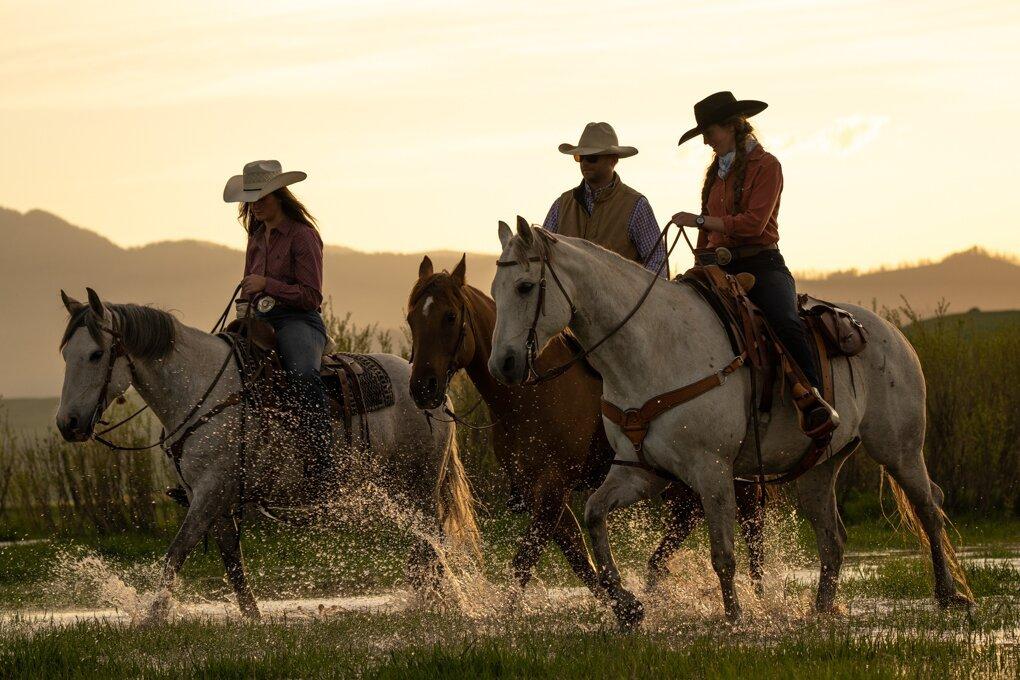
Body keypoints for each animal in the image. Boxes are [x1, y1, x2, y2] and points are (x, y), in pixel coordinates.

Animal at [57, 289, 479, 619]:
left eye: (95, 354)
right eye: (65, 354)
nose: (68, 423)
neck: (200, 388)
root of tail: (430, 389)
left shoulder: (211, 490)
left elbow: (177, 552)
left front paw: (152, 619)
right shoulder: (212, 495)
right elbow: (232, 562)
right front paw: (253, 619)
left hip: (419, 482)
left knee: (430, 542)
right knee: (425, 545)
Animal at [405, 254, 767, 595]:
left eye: (450, 317)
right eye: (411, 319)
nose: (423, 388)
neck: (530, 395)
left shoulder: (552, 487)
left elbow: (526, 562)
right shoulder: (542, 491)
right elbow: (579, 560)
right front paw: (627, 606)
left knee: (751, 526)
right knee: (688, 518)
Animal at [489, 221, 975, 632]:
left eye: (525, 286)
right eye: (495, 289)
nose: (503, 365)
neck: (651, 350)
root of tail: (894, 336)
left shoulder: (712, 469)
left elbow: (722, 552)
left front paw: (735, 617)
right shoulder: (641, 471)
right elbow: (593, 516)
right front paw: (628, 607)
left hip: (899, 449)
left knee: (929, 506)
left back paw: (948, 595)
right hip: (819, 466)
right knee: (833, 536)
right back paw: (821, 609)